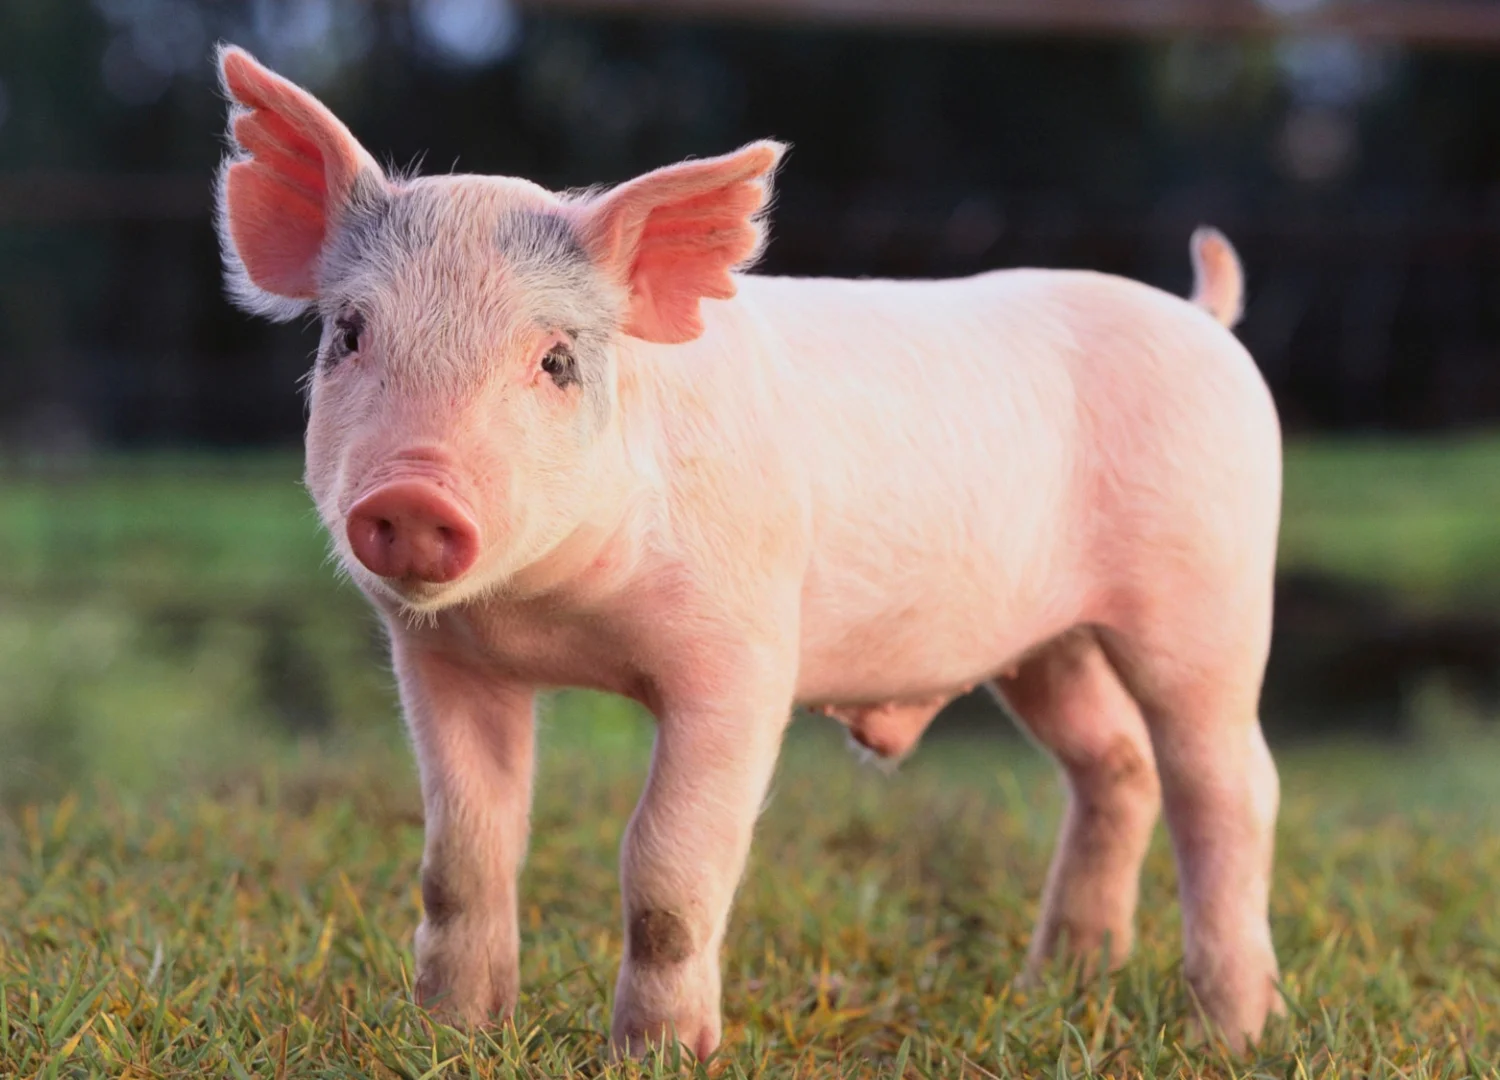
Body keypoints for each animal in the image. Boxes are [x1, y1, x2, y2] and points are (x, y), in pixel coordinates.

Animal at [214, 45, 1284, 1057]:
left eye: (556, 360)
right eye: (349, 335)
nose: (411, 494)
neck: (554, 616)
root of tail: (1205, 319)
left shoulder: (743, 658)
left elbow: (666, 865)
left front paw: (658, 1054)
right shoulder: (442, 659)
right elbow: (462, 856)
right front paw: (450, 1035)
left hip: (1211, 592)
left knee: (1227, 785)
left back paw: (1231, 1032)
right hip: (1046, 644)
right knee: (1115, 763)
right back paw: (1060, 982)